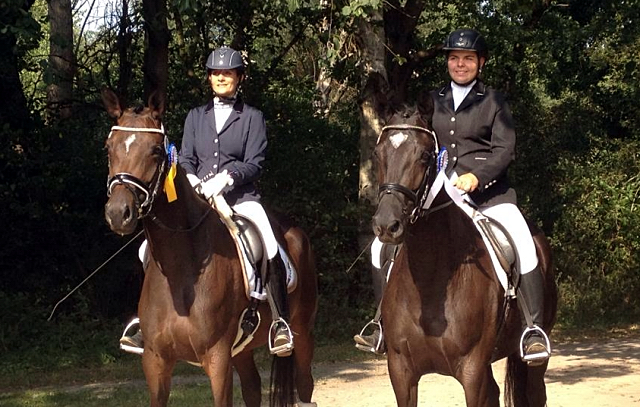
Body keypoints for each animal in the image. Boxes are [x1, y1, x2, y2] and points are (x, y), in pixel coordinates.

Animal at [101, 90, 318, 407]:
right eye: (109, 148)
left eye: (155, 151)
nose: (119, 213)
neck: (180, 270)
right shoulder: (155, 362)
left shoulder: (217, 359)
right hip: (243, 349)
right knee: (252, 387)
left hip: (301, 333)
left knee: (305, 385)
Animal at [372, 99, 556, 407]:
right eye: (378, 153)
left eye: (424, 155)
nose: (386, 225)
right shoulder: (400, 371)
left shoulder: (472, 372)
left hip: (530, 359)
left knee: (535, 393)